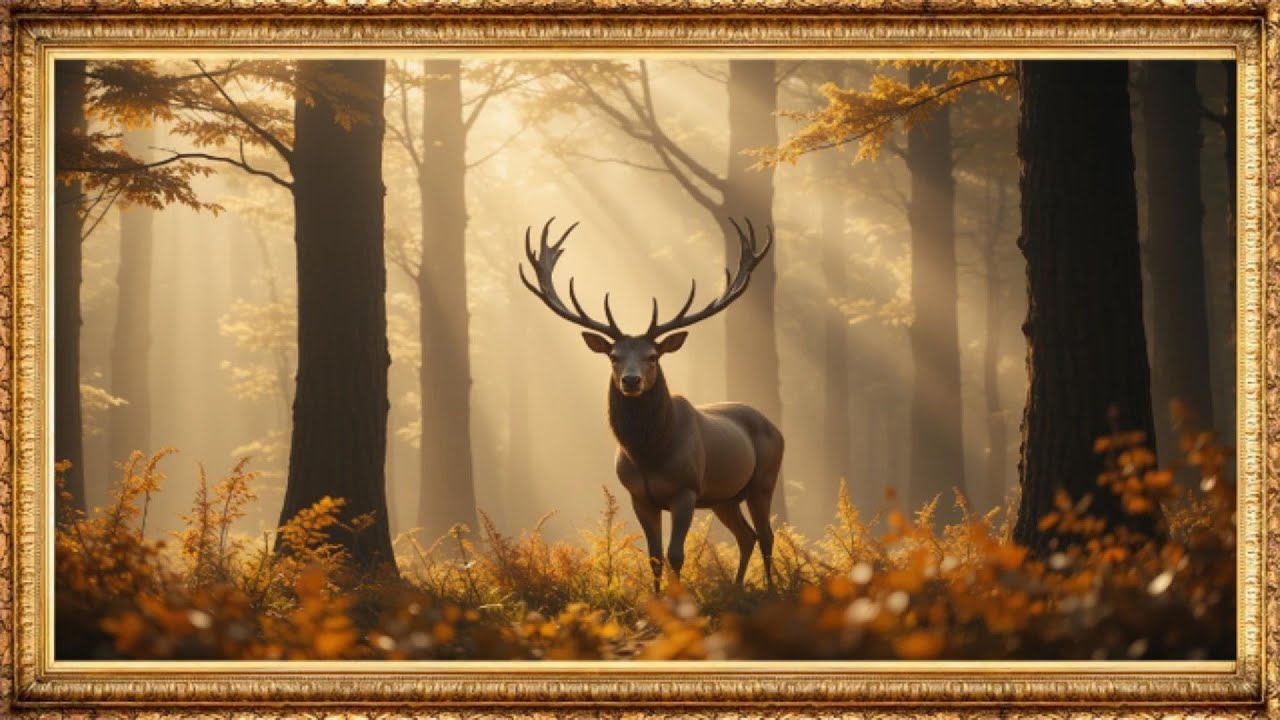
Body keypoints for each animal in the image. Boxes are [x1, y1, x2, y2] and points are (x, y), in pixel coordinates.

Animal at [519, 217, 784, 593]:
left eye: (653, 355)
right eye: (614, 356)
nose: (631, 381)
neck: (649, 453)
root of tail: (772, 423)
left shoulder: (686, 490)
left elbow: (676, 555)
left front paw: (678, 601)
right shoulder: (639, 496)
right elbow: (654, 556)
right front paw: (656, 602)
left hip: (763, 479)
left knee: (767, 535)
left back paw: (772, 590)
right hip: (724, 497)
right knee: (746, 536)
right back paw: (735, 591)